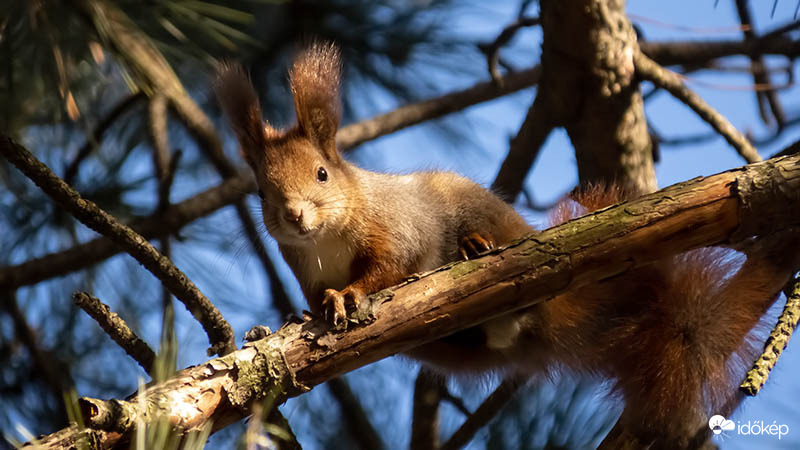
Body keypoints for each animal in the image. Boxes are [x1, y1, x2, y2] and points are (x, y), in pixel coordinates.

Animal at [214, 41, 800, 446]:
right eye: (262, 190)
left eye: (321, 174)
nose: (293, 215)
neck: (325, 240)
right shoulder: (303, 267)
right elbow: (313, 297)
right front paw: (302, 314)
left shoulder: (398, 228)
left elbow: (387, 265)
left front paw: (351, 295)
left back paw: (475, 249)